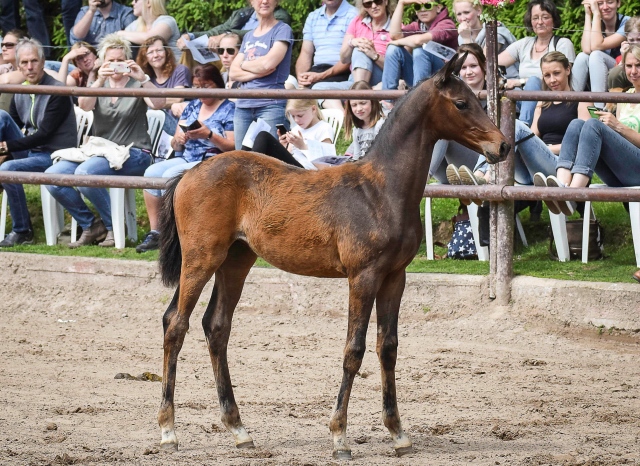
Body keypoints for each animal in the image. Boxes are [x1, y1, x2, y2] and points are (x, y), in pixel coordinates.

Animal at [156, 54, 510, 458]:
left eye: (479, 99)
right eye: (462, 103)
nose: (503, 146)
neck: (381, 191)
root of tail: (189, 173)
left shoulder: (395, 277)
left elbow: (388, 347)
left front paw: (398, 433)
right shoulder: (363, 276)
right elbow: (354, 350)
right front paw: (339, 436)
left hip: (236, 260)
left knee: (216, 326)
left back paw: (238, 428)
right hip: (201, 258)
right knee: (175, 323)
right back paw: (168, 430)